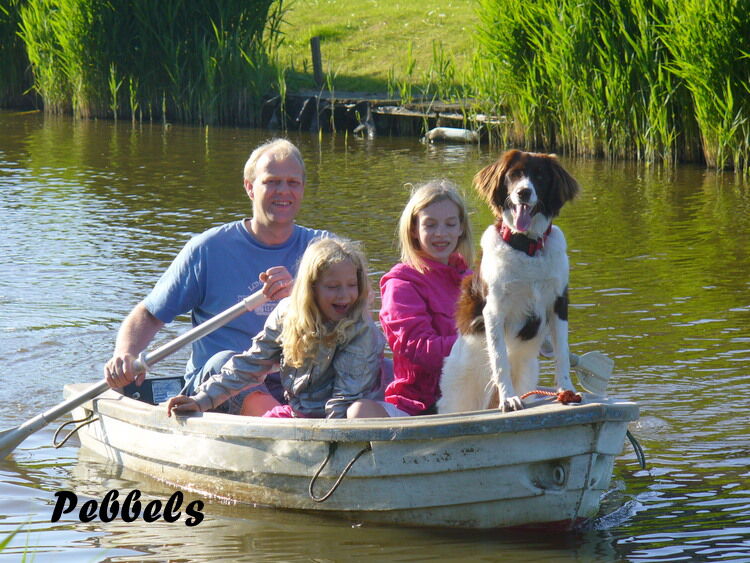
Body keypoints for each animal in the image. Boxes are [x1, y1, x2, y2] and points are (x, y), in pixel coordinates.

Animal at [437, 149, 580, 413]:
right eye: (514, 175)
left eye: (540, 176)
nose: (523, 192)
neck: (528, 248)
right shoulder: (494, 310)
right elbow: (500, 358)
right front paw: (508, 398)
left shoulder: (558, 303)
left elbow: (563, 354)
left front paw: (567, 390)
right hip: (460, 395)